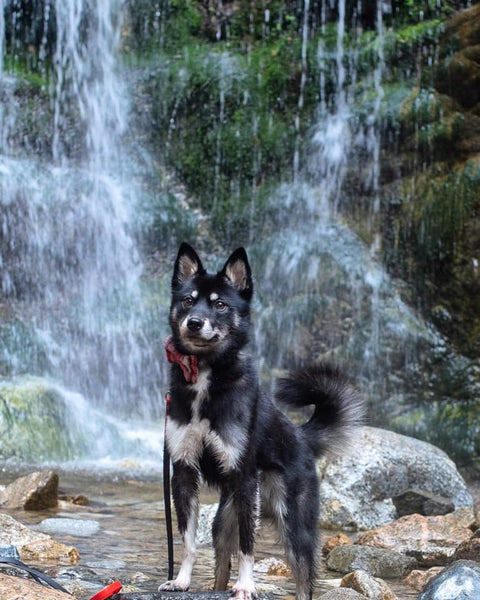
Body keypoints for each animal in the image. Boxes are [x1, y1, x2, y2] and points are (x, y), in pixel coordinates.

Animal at [159, 243, 362, 600]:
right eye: (187, 300)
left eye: (220, 304)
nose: (194, 323)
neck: (206, 376)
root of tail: (302, 436)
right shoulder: (184, 472)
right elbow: (187, 540)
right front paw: (181, 581)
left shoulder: (243, 479)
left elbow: (248, 547)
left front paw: (246, 586)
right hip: (225, 521)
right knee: (222, 563)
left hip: (291, 524)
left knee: (303, 579)